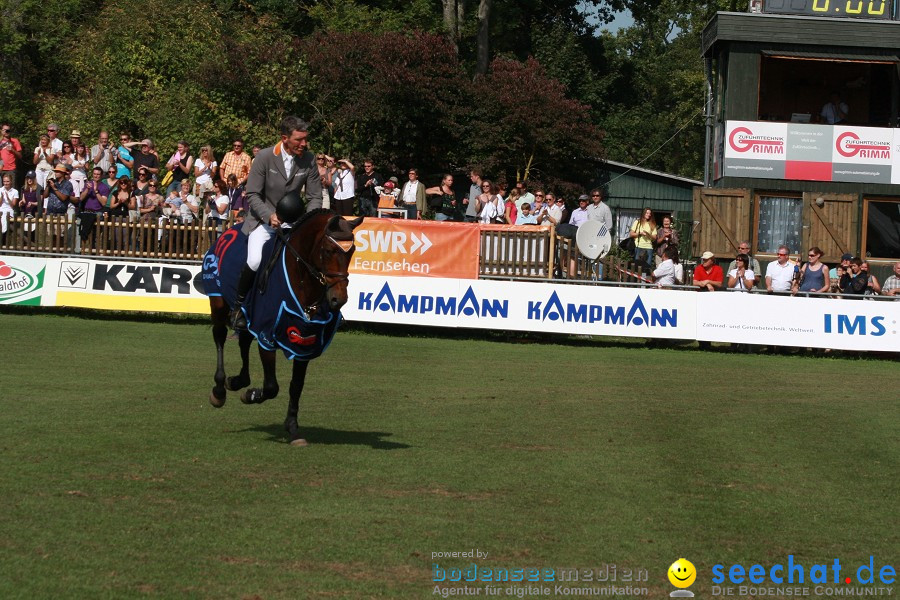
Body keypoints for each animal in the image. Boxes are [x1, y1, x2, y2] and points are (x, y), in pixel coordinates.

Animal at [209, 211, 364, 446]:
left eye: (352, 251)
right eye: (329, 250)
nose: (339, 299)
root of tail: (228, 230)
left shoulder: (305, 342)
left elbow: (296, 386)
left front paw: (292, 428)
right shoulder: (267, 335)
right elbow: (272, 387)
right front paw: (252, 395)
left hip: (249, 316)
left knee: (244, 339)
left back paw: (237, 381)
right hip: (217, 300)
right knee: (219, 336)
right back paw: (219, 390)